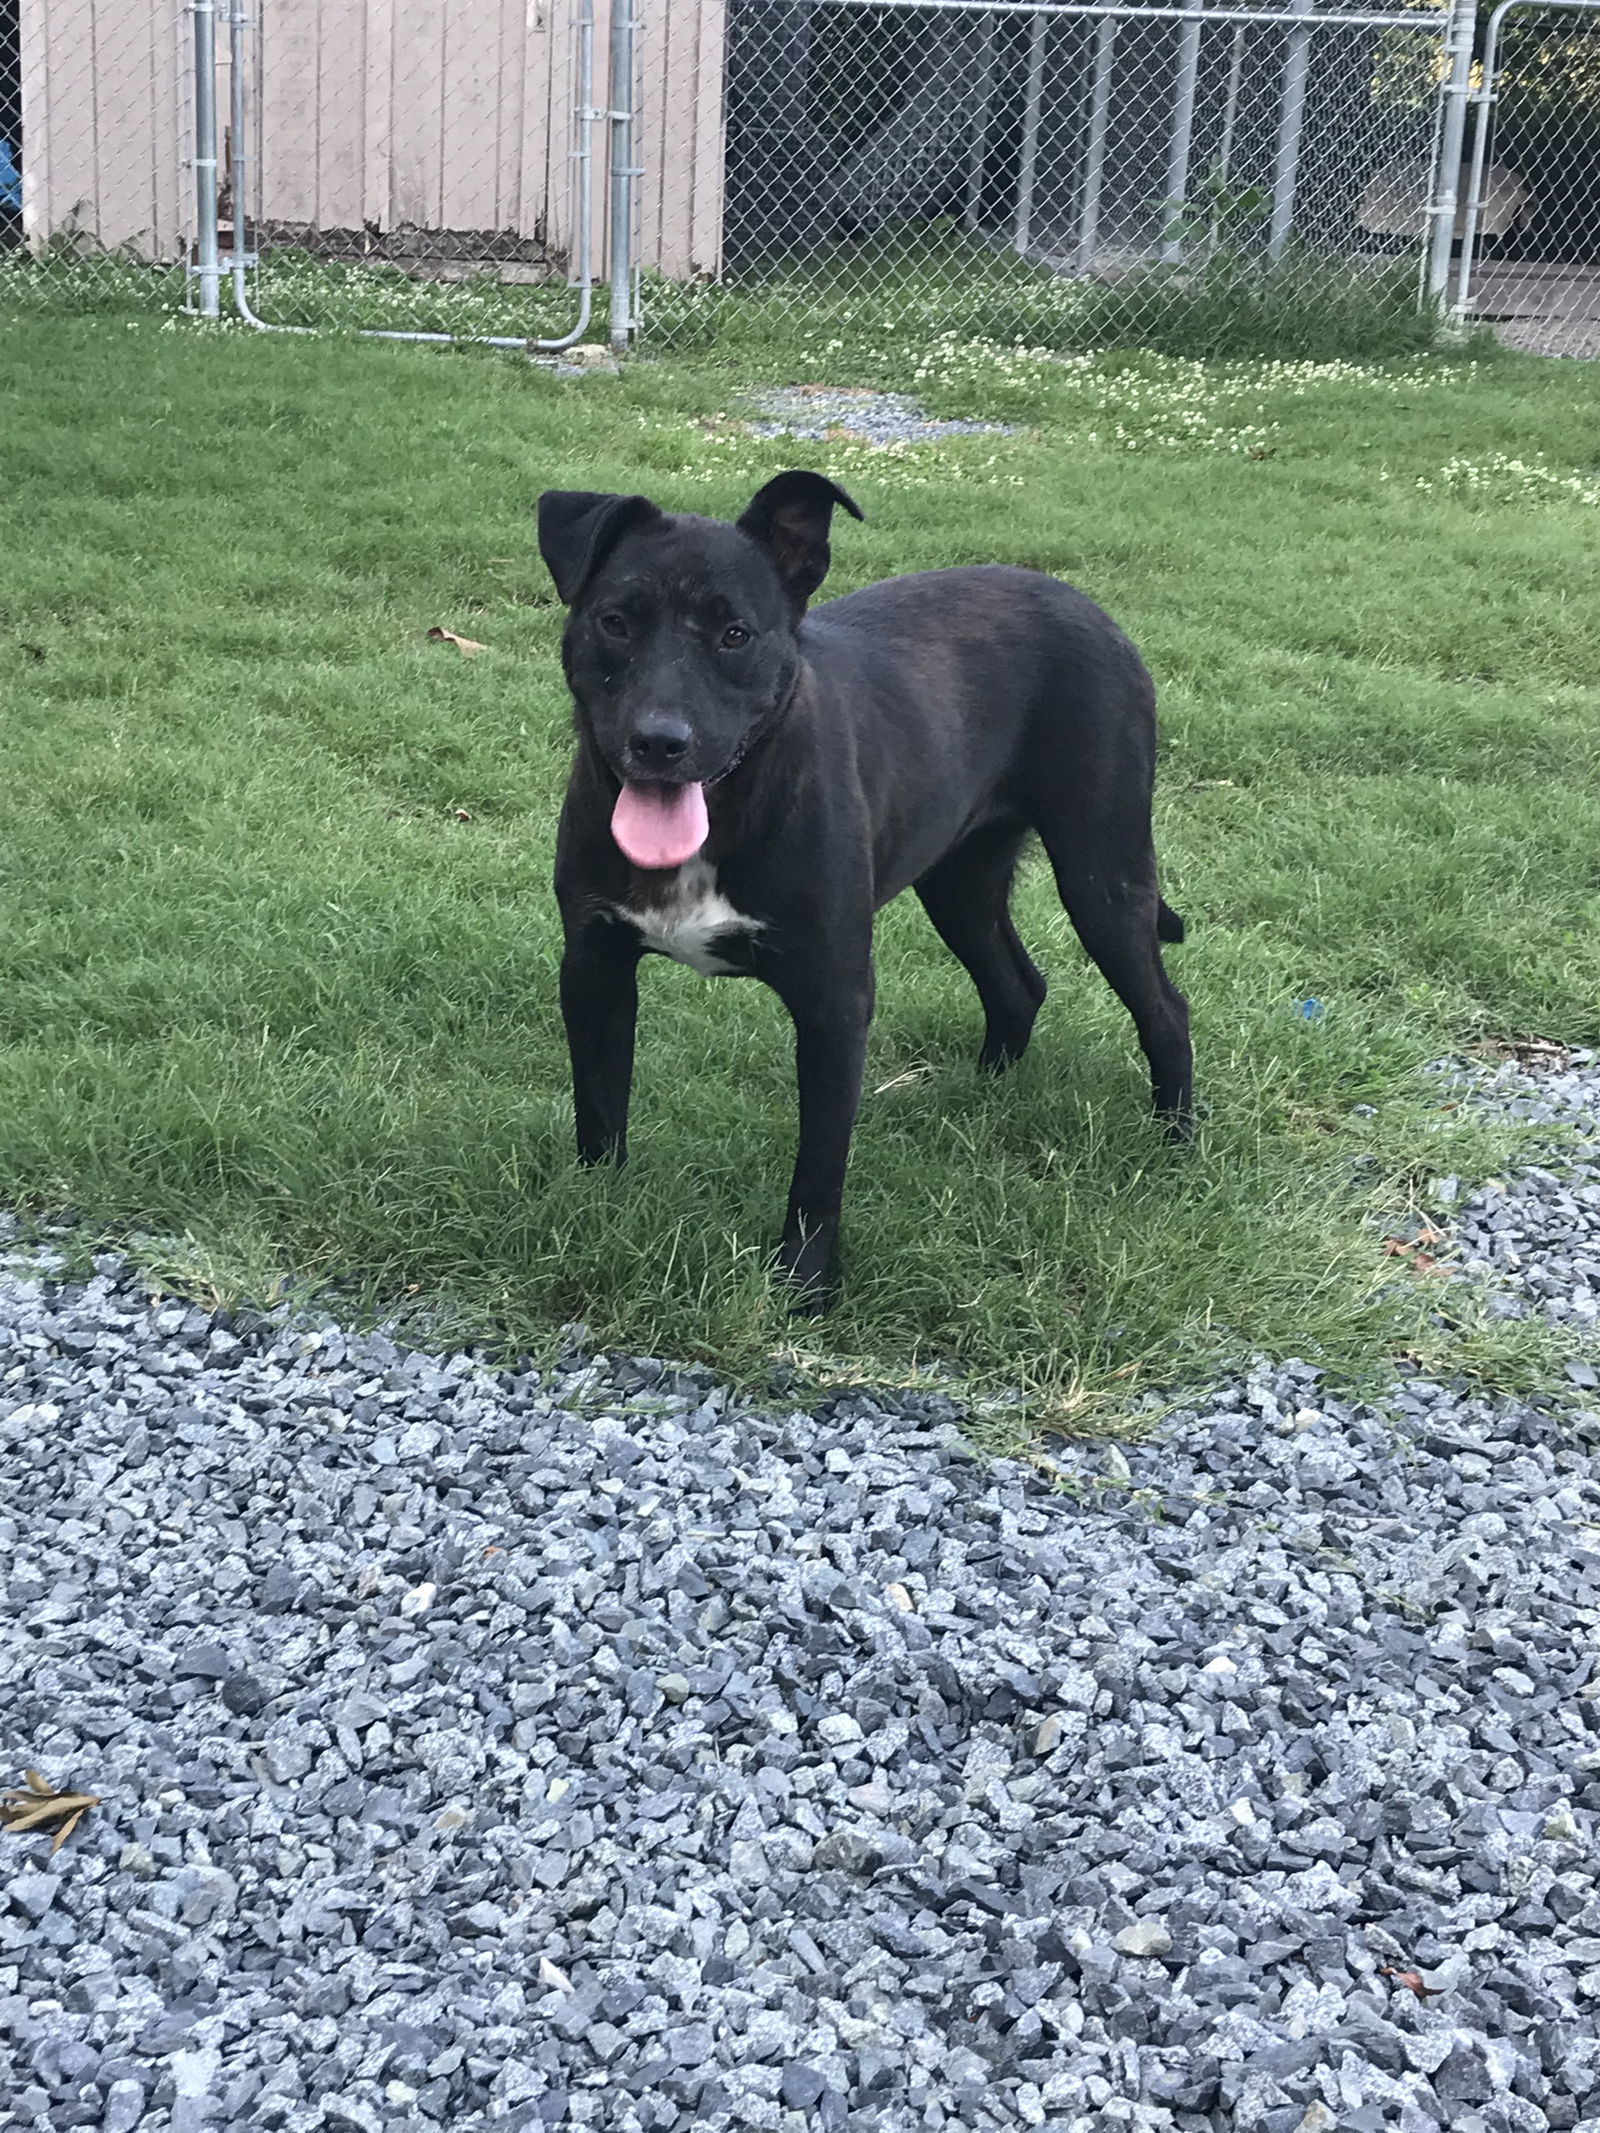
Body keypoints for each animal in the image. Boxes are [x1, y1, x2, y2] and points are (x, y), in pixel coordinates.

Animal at [539, 475, 1194, 1305]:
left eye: (735, 634)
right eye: (615, 621)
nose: (659, 740)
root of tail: (1088, 605)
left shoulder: (833, 1001)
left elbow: (819, 1167)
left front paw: (804, 1286)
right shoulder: (593, 968)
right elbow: (599, 1107)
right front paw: (595, 1211)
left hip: (1102, 871)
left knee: (1165, 1008)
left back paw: (1175, 1144)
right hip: (960, 881)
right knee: (1018, 983)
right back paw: (982, 1095)